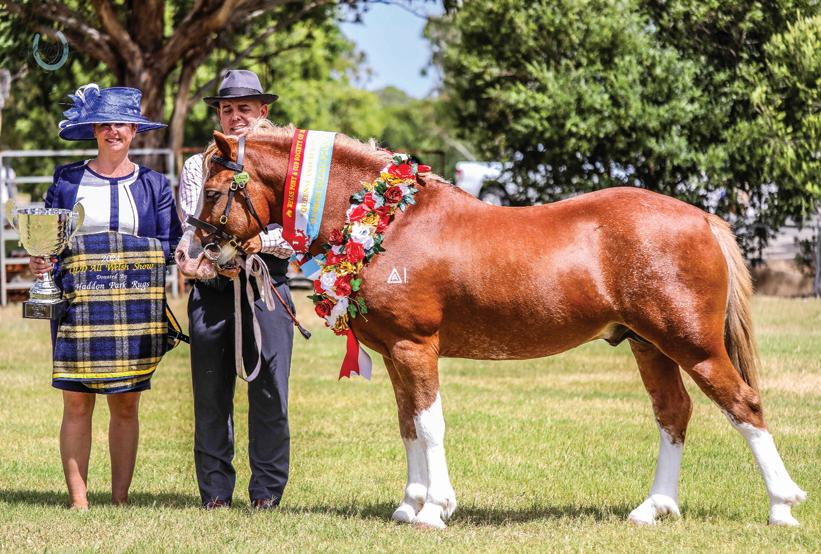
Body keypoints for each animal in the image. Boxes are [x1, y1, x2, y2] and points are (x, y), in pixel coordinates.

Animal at [175, 125, 806, 528]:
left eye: (214, 190)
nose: (190, 257)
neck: (388, 221)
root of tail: (702, 218)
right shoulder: (398, 355)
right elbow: (408, 426)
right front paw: (409, 505)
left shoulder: (416, 347)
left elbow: (430, 427)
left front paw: (435, 510)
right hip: (649, 347)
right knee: (673, 414)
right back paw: (652, 510)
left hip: (693, 345)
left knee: (745, 405)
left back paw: (781, 506)